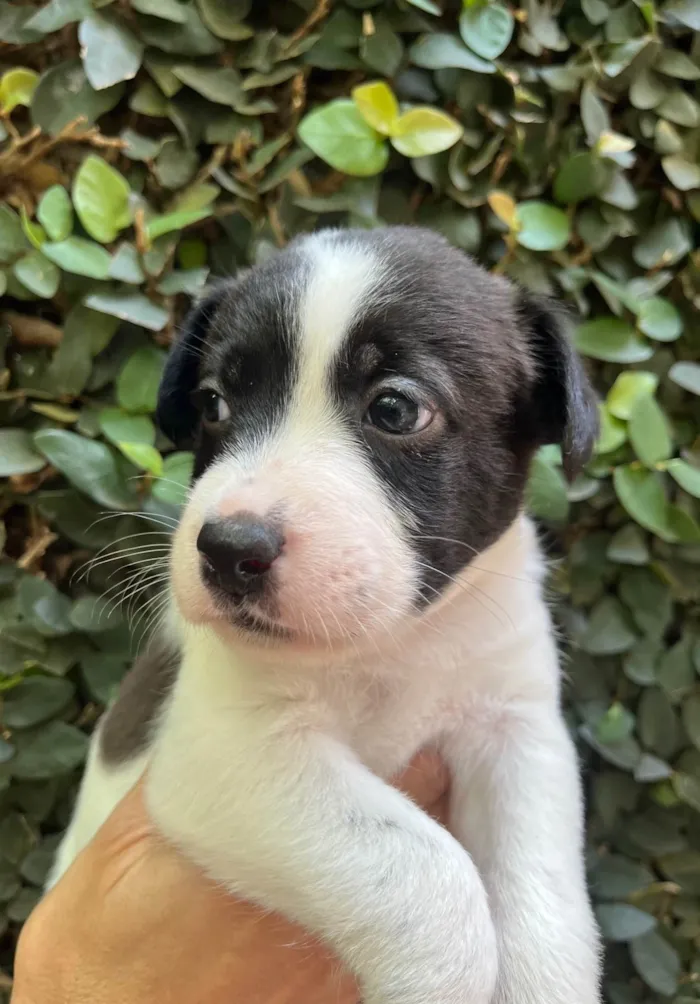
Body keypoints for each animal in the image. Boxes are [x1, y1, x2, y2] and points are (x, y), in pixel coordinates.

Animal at [51, 227, 602, 1003]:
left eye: (395, 409)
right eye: (214, 403)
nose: (229, 550)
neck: (394, 645)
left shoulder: (517, 730)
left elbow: (544, 902)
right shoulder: (230, 753)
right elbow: (428, 875)